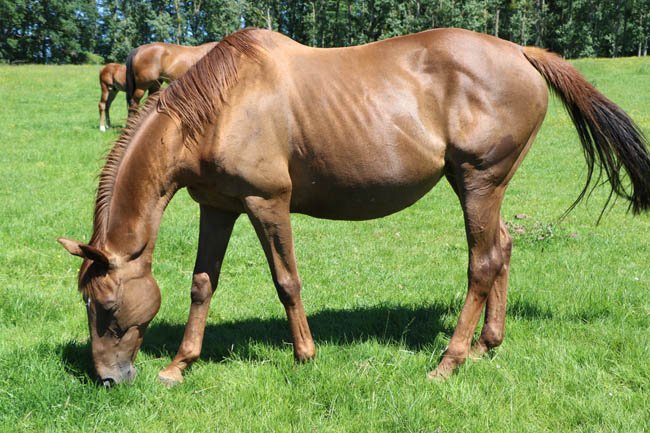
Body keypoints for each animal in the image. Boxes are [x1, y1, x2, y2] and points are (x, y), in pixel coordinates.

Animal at [58, 28, 650, 386]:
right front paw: (180, 365)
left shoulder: (267, 203)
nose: (108, 379)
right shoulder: (218, 207)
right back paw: (488, 345)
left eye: (106, 306)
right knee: (501, 249)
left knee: (482, 264)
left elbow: (286, 281)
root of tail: (522, 53)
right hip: (487, 188)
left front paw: (304, 355)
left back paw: (450, 361)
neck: (220, 106)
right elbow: (203, 283)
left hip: (478, 182)